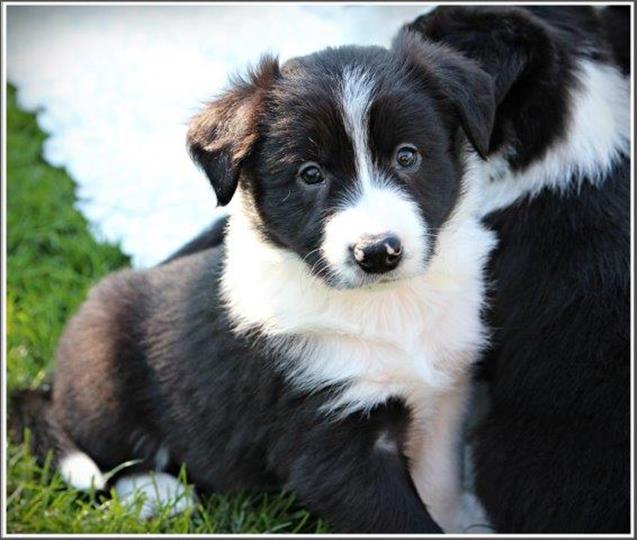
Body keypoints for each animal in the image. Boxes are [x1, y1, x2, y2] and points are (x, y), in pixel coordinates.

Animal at [10, 29, 499, 533]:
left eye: (407, 157)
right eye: (310, 174)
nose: (378, 251)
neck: (386, 309)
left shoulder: (444, 397)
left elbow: (440, 487)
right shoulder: (329, 436)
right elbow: (403, 517)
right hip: (102, 366)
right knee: (106, 449)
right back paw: (156, 490)